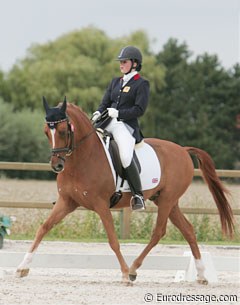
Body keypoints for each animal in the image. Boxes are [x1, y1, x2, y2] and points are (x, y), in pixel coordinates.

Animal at [16, 97, 234, 282]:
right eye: (46, 131)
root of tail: (183, 150)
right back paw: (201, 274)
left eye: (62, 130)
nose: (57, 165)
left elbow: (113, 239)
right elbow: (43, 228)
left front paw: (123, 273)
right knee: (188, 230)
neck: (82, 159)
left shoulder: (101, 205)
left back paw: (133, 269)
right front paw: (22, 267)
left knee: (159, 232)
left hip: (167, 200)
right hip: (167, 201)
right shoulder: (67, 202)